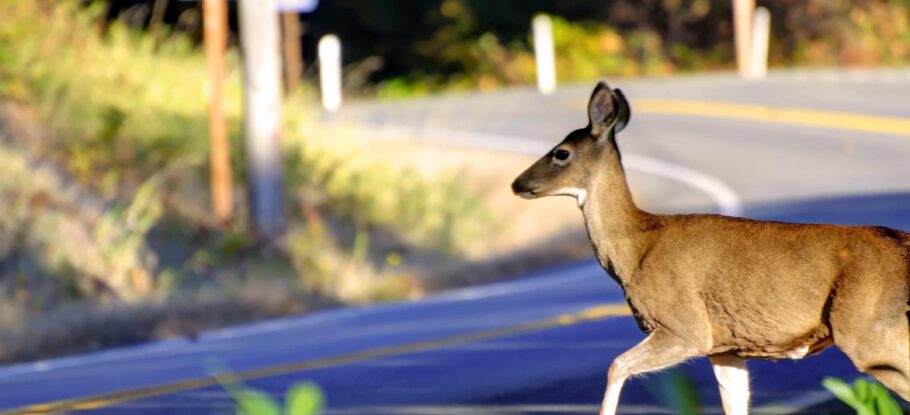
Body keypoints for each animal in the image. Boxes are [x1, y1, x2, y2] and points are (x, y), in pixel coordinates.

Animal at [512, 82, 910, 415]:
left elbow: (615, 366)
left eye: (561, 152)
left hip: (869, 331)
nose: (517, 183)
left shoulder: (684, 325)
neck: (637, 247)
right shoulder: (727, 346)